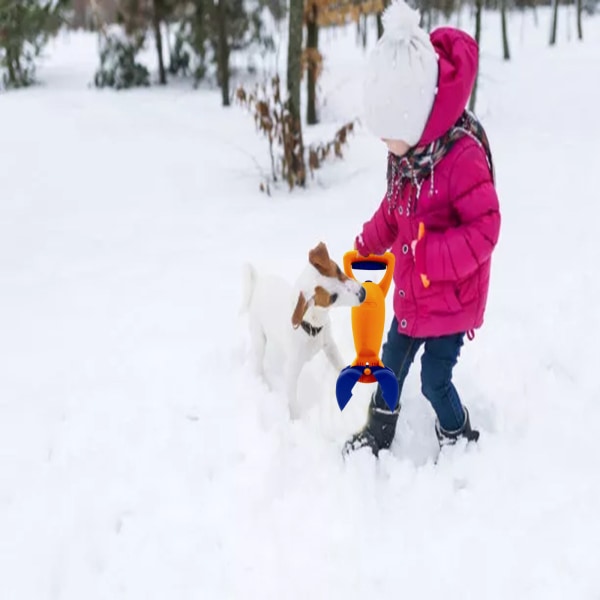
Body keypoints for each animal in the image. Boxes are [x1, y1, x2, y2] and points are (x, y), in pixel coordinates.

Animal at [240, 241, 366, 414]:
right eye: (333, 298)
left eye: (338, 270)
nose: (362, 293)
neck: (312, 325)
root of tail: (259, 284)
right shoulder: (291, 372)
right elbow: (293, 404)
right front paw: (297, 419)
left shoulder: (330, 345)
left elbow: (339, 363)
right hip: (259, 338)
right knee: (259, 362)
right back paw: (262, 383)